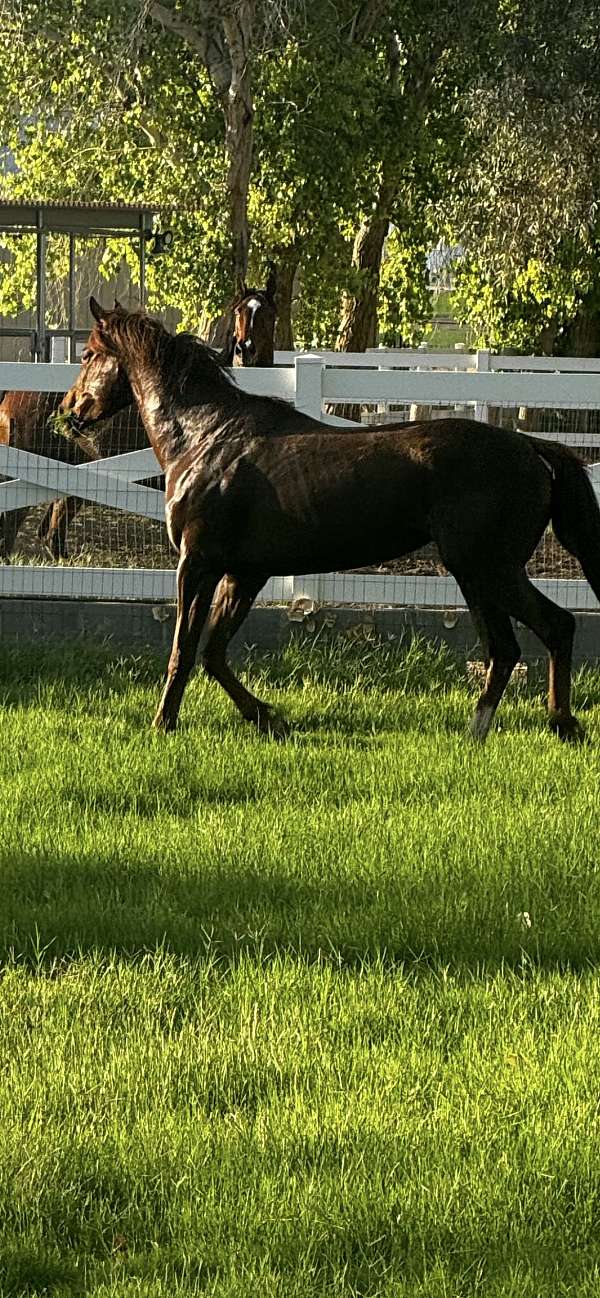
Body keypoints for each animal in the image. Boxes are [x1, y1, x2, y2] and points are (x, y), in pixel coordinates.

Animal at [59, 298, 600, 743]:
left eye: (87, 355)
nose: (70, 410)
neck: (206, 437)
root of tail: (531, 447)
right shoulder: (245, 573)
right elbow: (214, 652)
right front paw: (269, 718)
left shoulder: (198, 564)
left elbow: (184, 649)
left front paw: (163, 724)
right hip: (475, 574)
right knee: (504, 648)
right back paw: (488, 730)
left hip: (489, 568)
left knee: (552, 627)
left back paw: (555, 724)